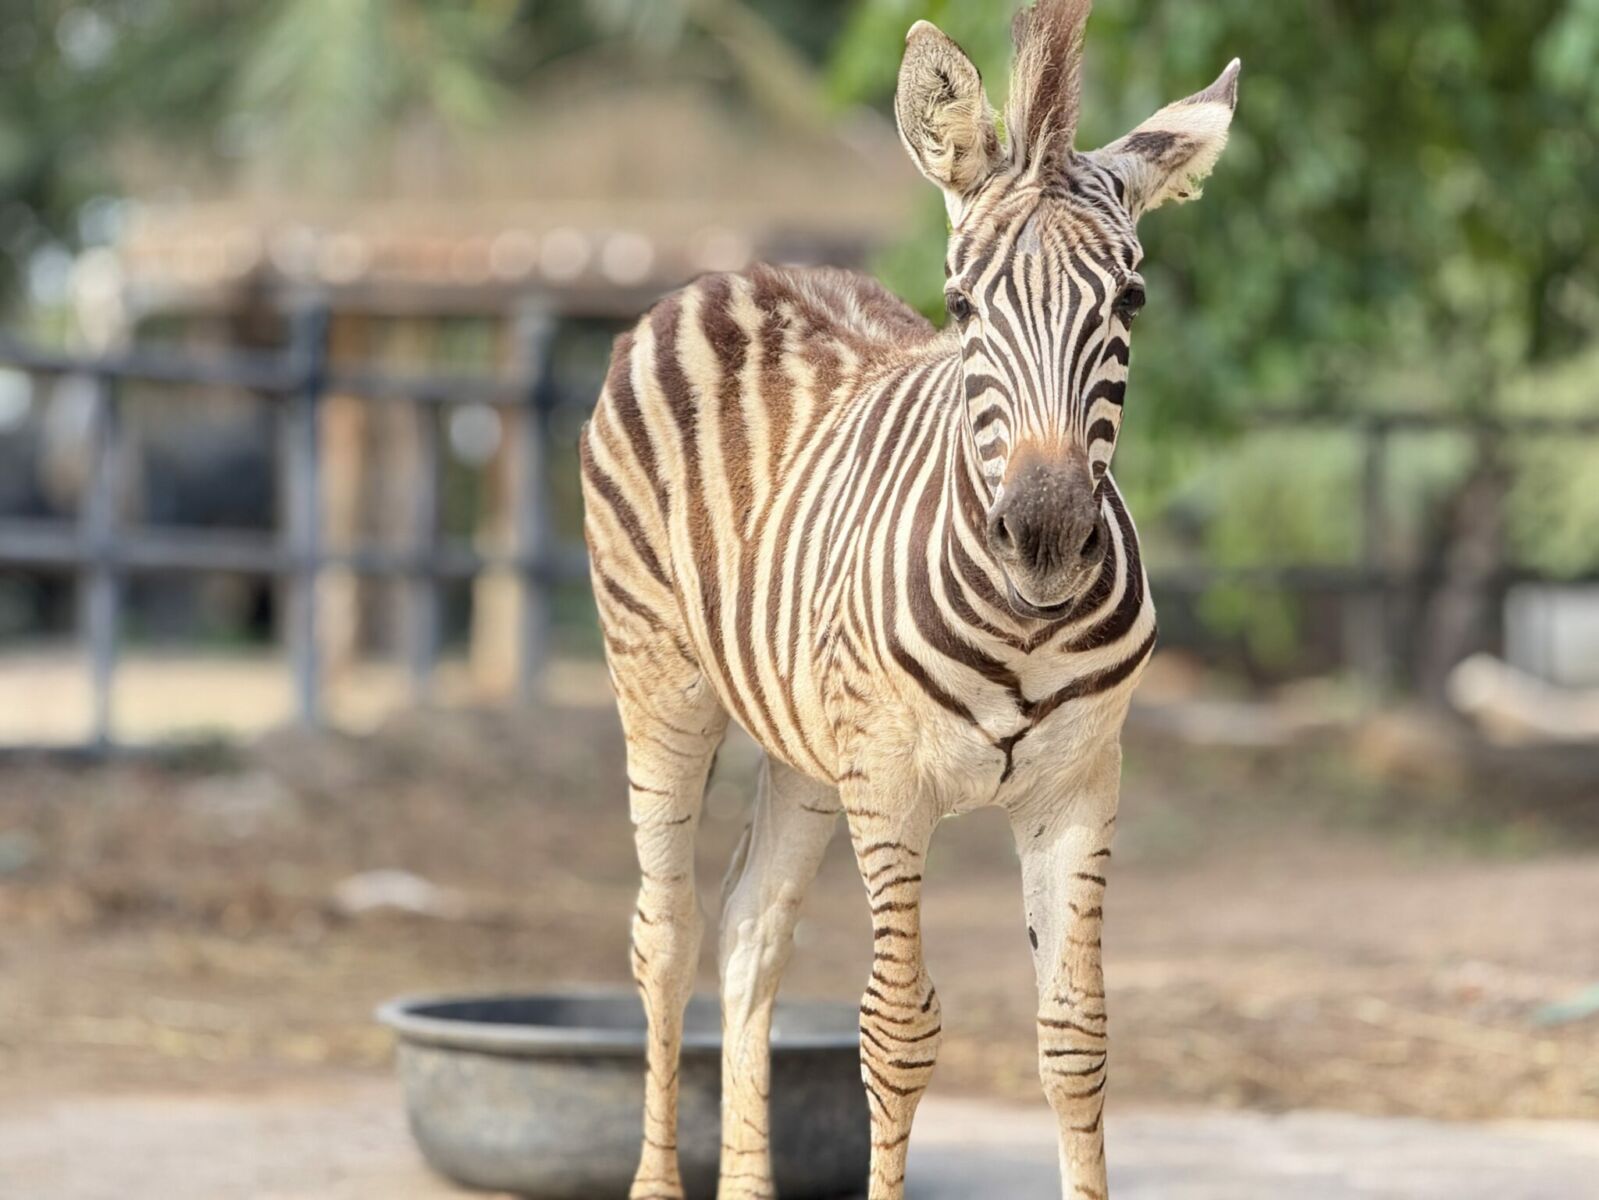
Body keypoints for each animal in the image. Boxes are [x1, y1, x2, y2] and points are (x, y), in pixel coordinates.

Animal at [582, 4, 1240, 1196]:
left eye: (1131, 299)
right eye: (961, 304)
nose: (1046, 534)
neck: (1025, 624)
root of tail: (729, 271)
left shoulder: (1081, 788)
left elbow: (1076, 1038)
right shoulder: (888, 786)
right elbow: (895, 1031)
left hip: (803, 743)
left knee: (750, 931)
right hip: (659, 682)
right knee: (665, 932)